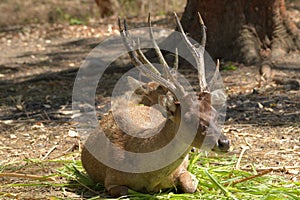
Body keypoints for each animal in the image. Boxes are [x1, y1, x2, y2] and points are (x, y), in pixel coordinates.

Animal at [81, 12, 231, 197]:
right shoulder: (111, 178)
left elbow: (190, 185)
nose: (224, 142)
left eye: (216, 114)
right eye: (189, 119)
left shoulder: (183, 170)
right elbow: (124, 192)